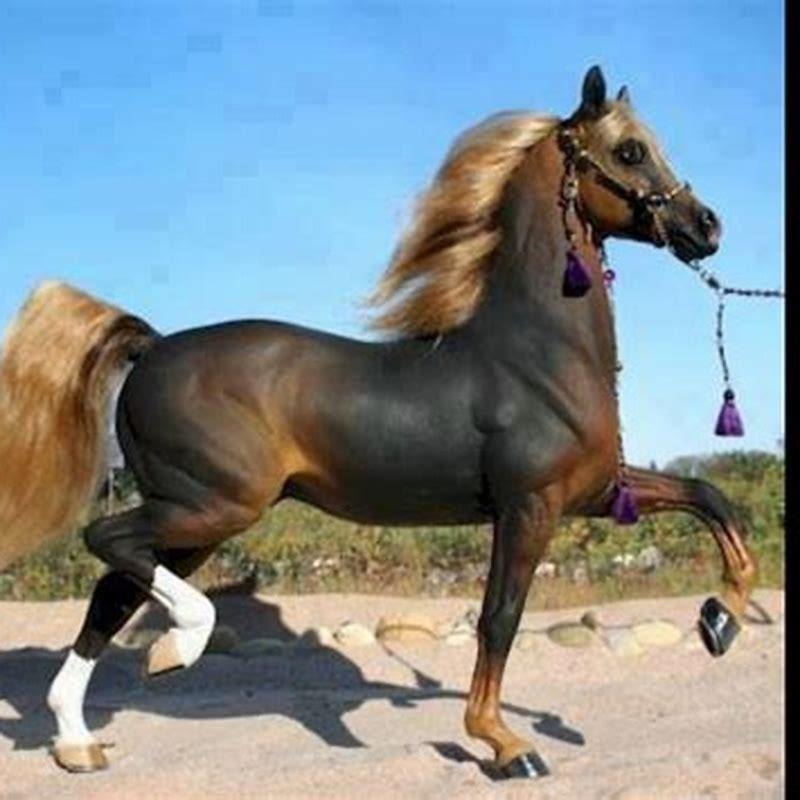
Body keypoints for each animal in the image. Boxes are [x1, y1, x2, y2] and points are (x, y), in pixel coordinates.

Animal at [0, 65, 756, 779]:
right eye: (630, 150)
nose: (708, 226)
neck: (532, 352)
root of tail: (153, 347)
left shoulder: (595, 493)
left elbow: (710, 499)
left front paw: (721, 622)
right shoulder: (530, 507)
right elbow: (499, 618)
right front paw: (507, 745)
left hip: (194, 517)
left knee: (113, 589)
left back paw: (78, 742)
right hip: (209, 505)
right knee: (107, 543)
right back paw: (174, 648)